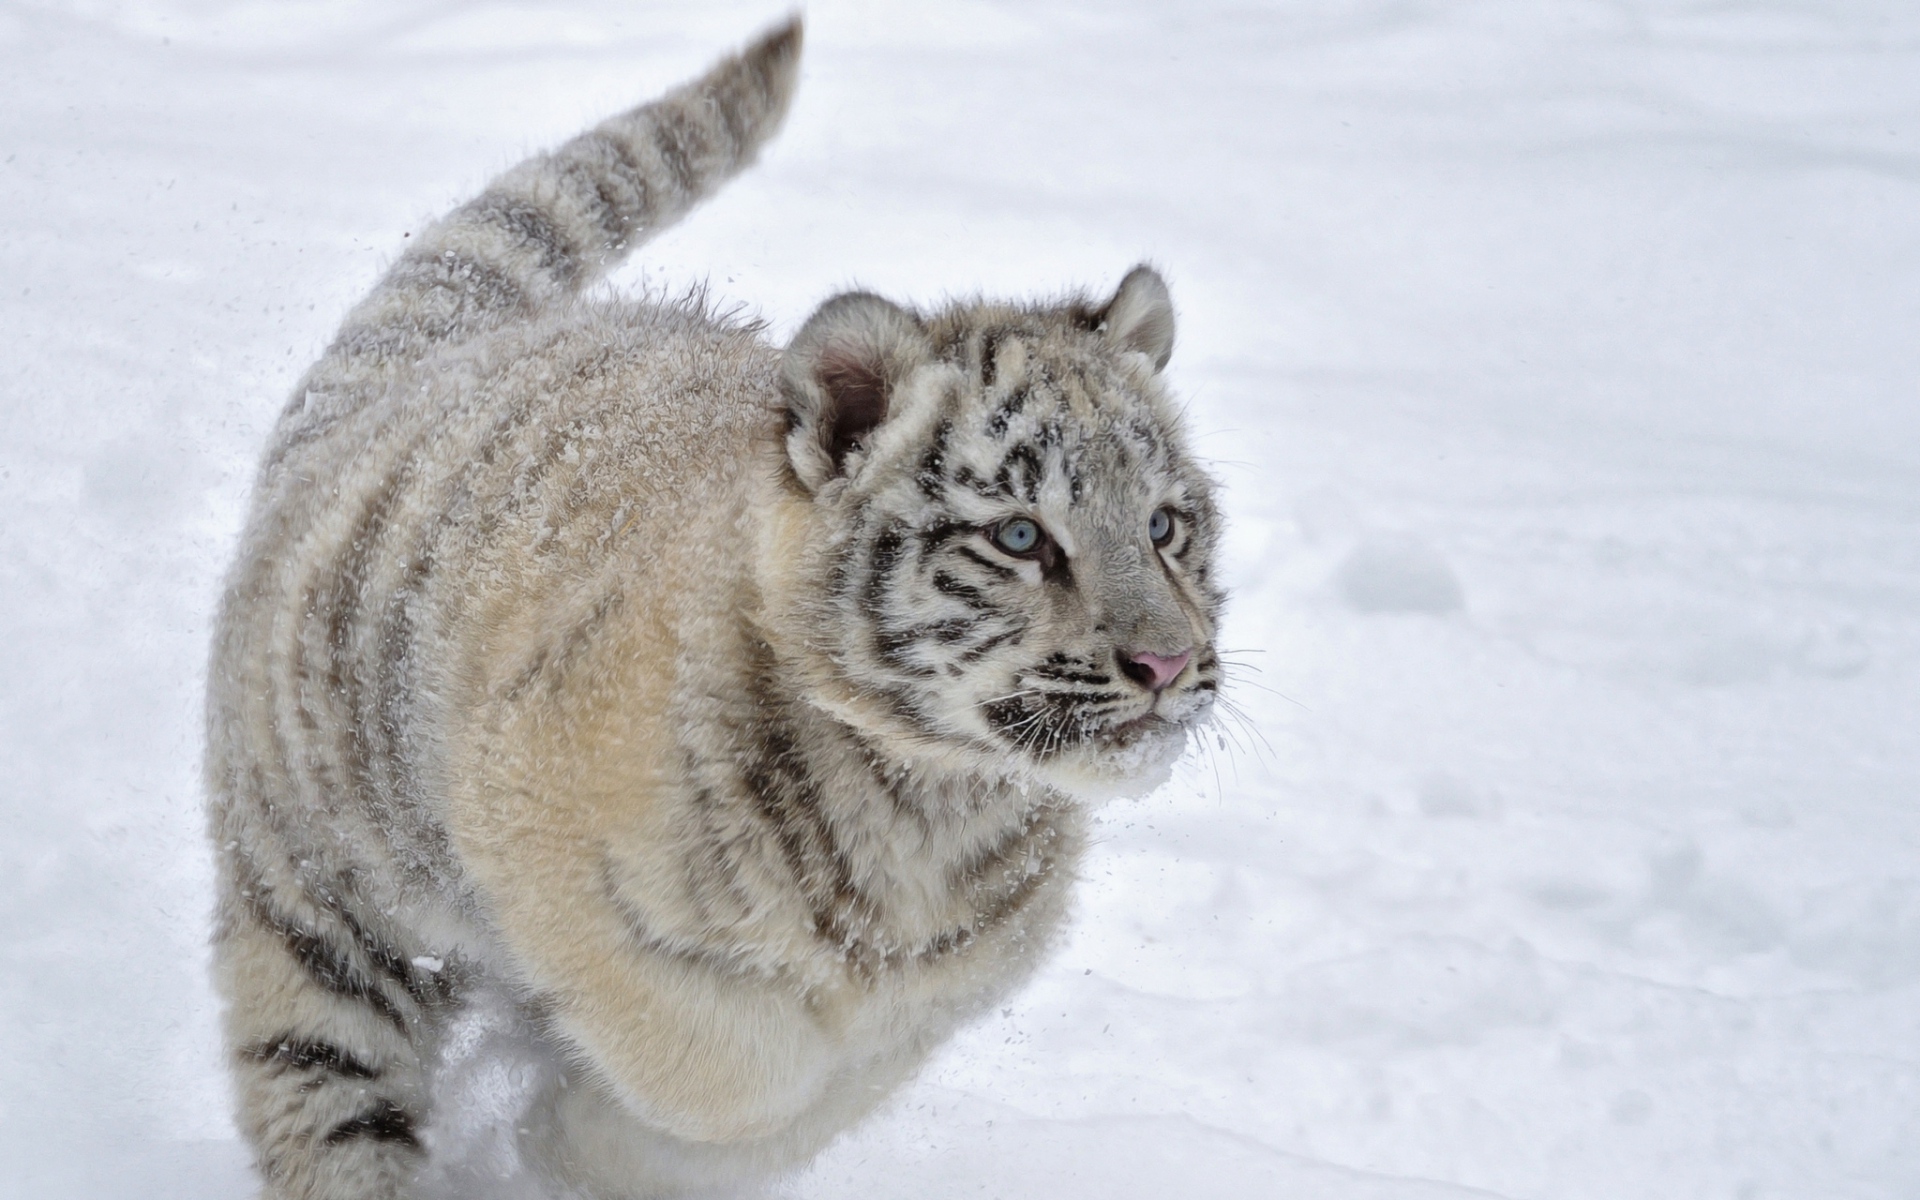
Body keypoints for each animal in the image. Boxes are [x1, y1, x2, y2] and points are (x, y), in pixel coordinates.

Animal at [205, 17, 1224, 1200]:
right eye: (1021, 537)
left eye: (1163, 526)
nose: (1166, 664)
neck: (931, 809)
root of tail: (428, 368)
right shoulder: (540, 840)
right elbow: (727, 1068)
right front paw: (563, 1129)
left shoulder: (926, 1005)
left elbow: (794, 1102)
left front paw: (580, 1145)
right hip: (319, 915)